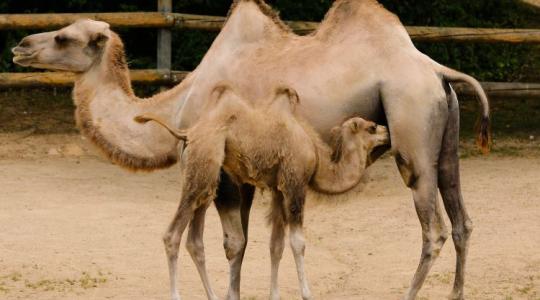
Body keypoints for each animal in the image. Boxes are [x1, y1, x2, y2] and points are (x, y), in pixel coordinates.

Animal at [134, 82, 388, 300]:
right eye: (371, 127)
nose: (386, 131)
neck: (316, 158)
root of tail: (188, 133)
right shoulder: (295, 184)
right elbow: (298, 242)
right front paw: (307, 293)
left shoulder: (278, 189)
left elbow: (276, 244)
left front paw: (274, 294)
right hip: (203, 168)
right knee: (172, 235)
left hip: (206, 179)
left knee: (195, 240)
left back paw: (214, 295)